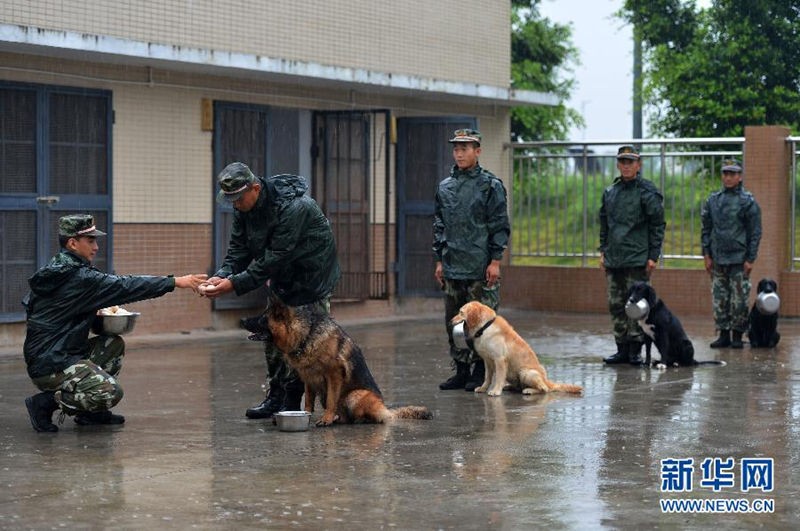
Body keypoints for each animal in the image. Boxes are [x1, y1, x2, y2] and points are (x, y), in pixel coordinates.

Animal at [244, 294, 432, 426]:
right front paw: (307, 415)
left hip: (355, 395)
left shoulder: (333, 375)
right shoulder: (308, 378)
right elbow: (309, 401)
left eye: (262, 318)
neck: (306, 335)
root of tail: (385, 409)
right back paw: (338, 419)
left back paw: (355, 419)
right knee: (345, 417)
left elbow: (331, 400)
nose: (243, 320)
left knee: (371, 417)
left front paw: (326, 419)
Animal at [450, 302, 580, 396]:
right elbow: (487, 377)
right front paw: (483, 388)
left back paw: (529, 390)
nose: (450, 321)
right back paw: (510, 387)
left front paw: (496, 391)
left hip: (526, 373)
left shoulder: (500, 360)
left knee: (544, 389)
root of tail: (547, 380)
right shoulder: (487, 361)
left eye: (461, 312)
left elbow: (499, 377)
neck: (485, 327)